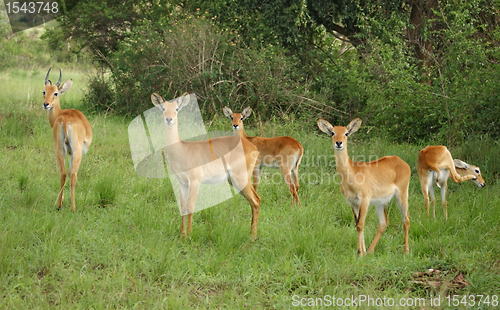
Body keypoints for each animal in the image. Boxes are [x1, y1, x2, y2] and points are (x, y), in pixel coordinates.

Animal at [43, 68, 93, 212]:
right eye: (44, 91)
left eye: (55, 92)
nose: (46, 104)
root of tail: (65, 120)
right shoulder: (73, 153)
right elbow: (72, 173)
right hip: (76, 152)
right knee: (73, 174)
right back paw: (73, 207)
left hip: (59, 149)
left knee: (63, 173)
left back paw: (59, 204)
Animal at [151, 93, 262, 239]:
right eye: (163, 108)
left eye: (176, 109)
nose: (169, 119)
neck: (181, 150)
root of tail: (253, 147)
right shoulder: (182, 182)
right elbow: (183, 207)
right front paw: (181, 235)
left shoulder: (195, 180)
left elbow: (190, 206)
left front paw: (189, 236)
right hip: (233, 181)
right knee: (253, 202)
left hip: (241, 178)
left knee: (256, 200)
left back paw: (252, 237)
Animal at [316, 117, 410, 256]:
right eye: (332, 132)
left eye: (346, 133)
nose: (339, 143)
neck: (352, 175)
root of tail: (401, 161)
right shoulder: (352, 202)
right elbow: (358, 224)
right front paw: (363, 251)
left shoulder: (364, 200)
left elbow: (360, 224)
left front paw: (359, 252)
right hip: (380, 203)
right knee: (383, 222)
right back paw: (371, 250)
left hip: (402, 195)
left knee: (406, 219)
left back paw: (406, 251)